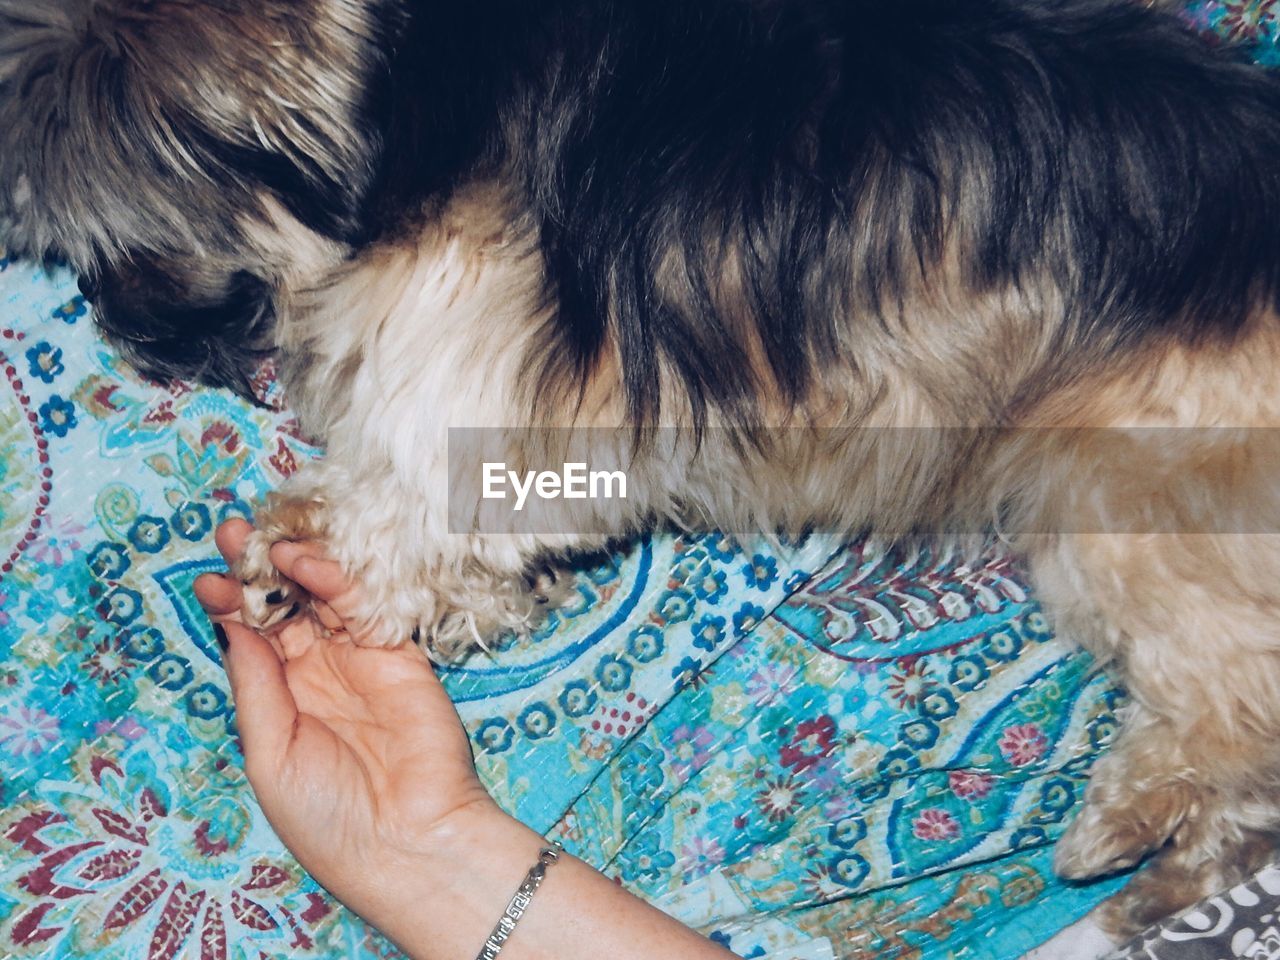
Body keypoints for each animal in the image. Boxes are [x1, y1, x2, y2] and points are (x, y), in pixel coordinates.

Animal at [2, 0, 1280, 942]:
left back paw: (1113, 836)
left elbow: (414, 509)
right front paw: (309, 556)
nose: (128, 336)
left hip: (1129, 493)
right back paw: (1153, 884)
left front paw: (328, 560)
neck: (407, 94)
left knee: (1235, 717)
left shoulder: (494, 380)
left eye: (114, 240)